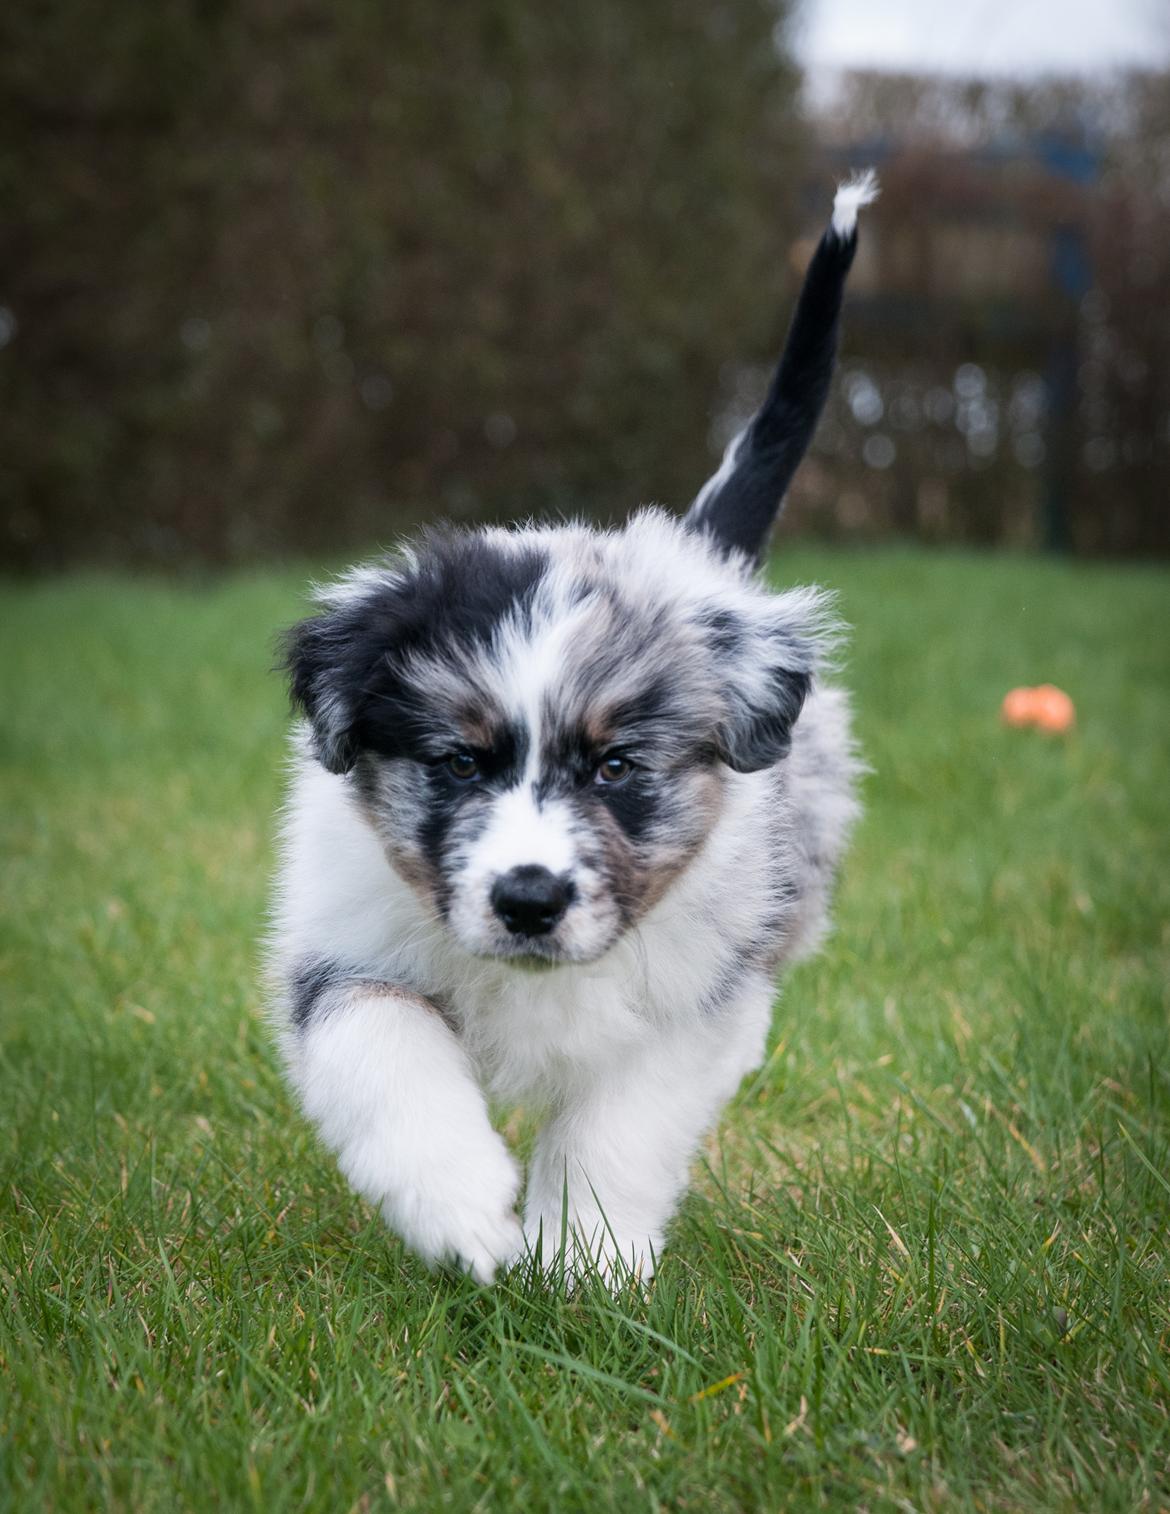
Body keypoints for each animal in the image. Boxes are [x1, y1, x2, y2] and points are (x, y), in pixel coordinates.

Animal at [269, 177, 877, 1289]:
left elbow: (620, 1123)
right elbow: (385, 1056)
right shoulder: (344, 946)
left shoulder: (701, 996)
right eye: (459, 763)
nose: (529, 898)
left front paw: (582, 1263)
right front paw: (466, 1211)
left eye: (616, 766)